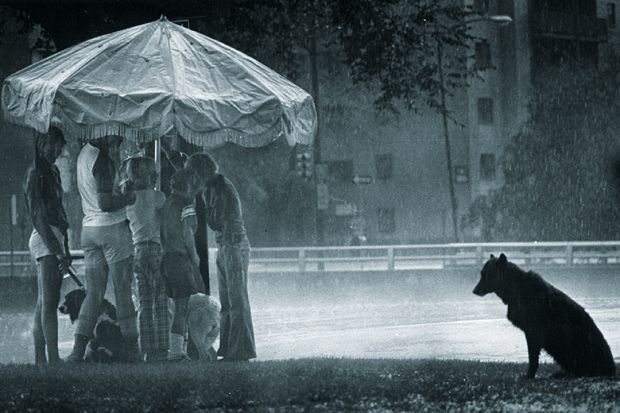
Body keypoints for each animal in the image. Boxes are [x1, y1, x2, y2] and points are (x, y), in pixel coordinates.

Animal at [474, 253, 616, 378]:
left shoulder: (533, 332)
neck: (517, 288)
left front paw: (529, 376)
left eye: (487, 274)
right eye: (481, 273)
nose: (474, 291)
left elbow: (533, 360)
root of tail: (612, 369)